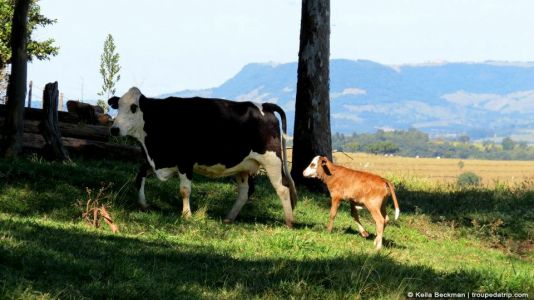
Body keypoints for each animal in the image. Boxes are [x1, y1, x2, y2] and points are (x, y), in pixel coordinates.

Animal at [109, 86, 300, 227]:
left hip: (272, 160)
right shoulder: (161, 160)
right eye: (117, 106)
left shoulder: (185, 161)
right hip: (244, 166)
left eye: (134, 108)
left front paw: (187, 214)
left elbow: (185, 190)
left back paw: (289, 222)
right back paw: (229, 218)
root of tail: (264, 105)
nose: (114, 129)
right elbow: (139, 175)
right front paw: (143, 204)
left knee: (283, 188)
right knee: (245, 191)